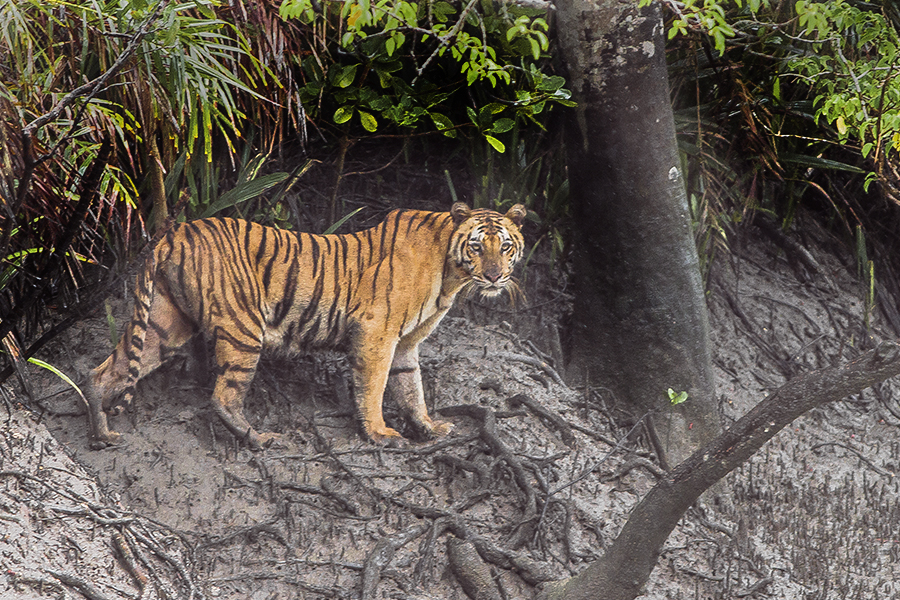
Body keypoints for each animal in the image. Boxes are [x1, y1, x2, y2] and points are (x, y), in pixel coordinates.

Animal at [86, 204, 528, 448]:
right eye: (477, 246)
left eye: (505, 246)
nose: (494, 277)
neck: (451, 274)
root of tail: (175, 231)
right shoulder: (377, 333)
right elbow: (374, 387)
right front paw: (380, 433)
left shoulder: (405, 344)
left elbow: (410, 388)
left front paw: (429, 427)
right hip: (244, 328)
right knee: (223, 395)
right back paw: (258, 439)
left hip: (165, 324)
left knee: (103, 372)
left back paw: (101, 434)